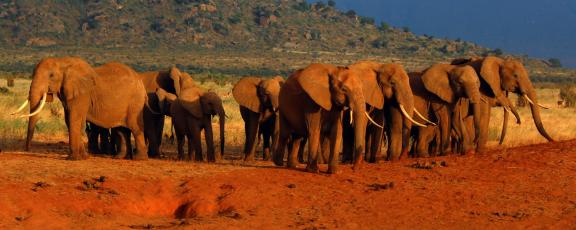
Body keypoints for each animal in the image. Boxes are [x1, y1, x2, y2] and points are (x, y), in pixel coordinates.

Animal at [15, 57, 147, 160]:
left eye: (51, 75)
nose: (27, 150)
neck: (61, 61)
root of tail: (140, 80)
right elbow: (69, 120)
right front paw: (83, 157)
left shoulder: (81, 93)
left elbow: (74, 119)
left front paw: (73, 158)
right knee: (121, 129)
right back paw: (119, 157)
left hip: (135, 103)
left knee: (135, 128)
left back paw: (139, 158)